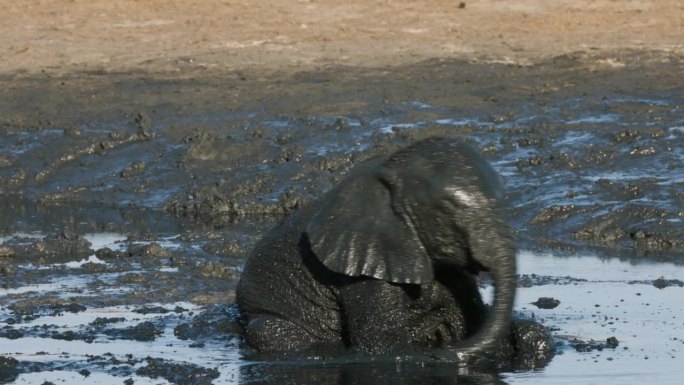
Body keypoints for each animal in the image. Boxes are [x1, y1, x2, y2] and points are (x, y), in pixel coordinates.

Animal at [235, 138, 552, 364]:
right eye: (450, 210)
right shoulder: (363, 275)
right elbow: (384, 347)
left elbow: (469, 321)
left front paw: (530, 337)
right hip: (265, 322)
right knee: (275, 334)